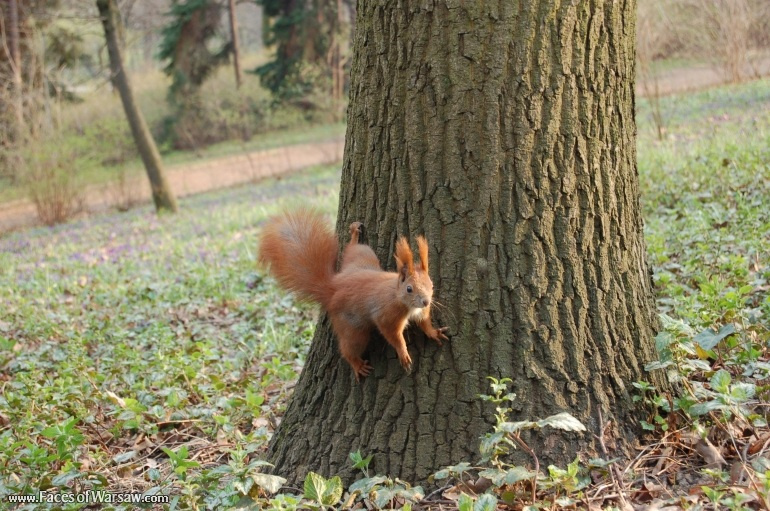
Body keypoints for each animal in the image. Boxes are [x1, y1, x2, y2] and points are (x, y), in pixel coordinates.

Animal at [258, 209, 448, 380]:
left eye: (431, 284)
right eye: (409, 289)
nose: (426, 302)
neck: (401, 299)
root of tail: (333, 288)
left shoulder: (421, 312)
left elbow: (424, 323)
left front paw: (433, 333)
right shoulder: (387, 316)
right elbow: (393, 335)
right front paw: (403, 353)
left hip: (361, 257)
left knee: (353, 249)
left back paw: (355, 235)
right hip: (353, 328)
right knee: (348, 348)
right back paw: (357, 364)